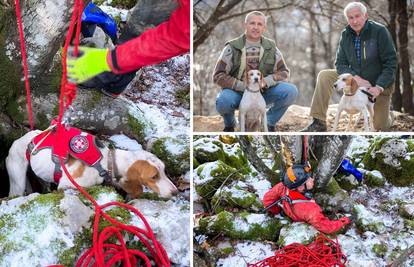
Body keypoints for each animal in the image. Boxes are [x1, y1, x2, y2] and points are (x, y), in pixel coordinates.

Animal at [6, 130, 178, 199]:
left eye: (164, 171)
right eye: (154, 176)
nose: (176, 192)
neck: (106, 162)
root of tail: (19, 140)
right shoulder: (66, 185)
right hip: (17, 183)